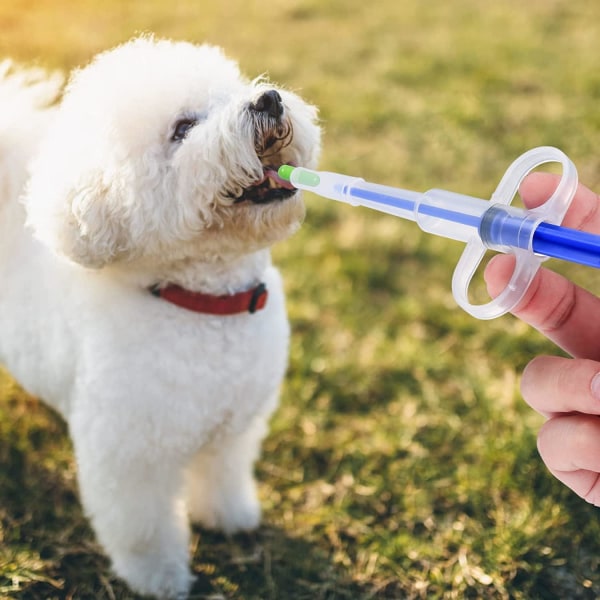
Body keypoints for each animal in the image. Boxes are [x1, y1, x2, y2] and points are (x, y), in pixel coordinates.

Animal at [0, 35, 318, 596]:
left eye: (233, 90)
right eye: (183, 128)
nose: (269, 100)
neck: (204, 303)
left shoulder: (233, 427)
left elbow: (222, 475)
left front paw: (229, 518)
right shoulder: (131, 456)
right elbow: (143, 527)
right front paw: (160, 578)